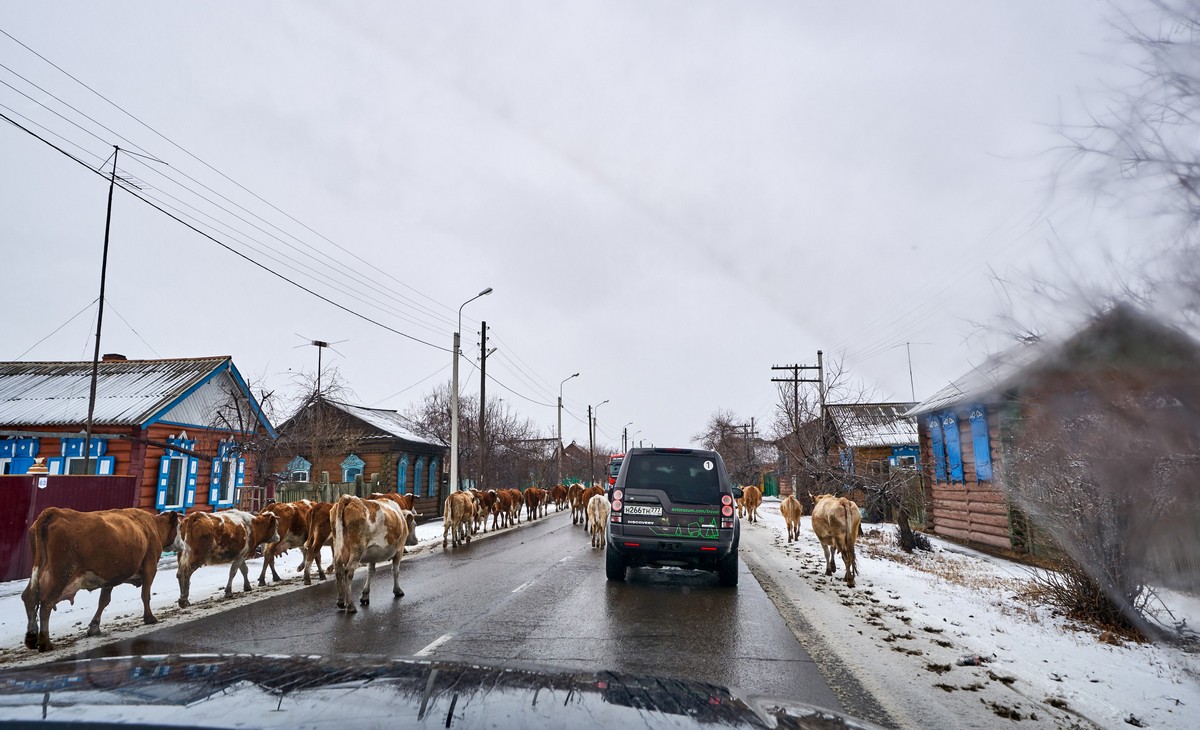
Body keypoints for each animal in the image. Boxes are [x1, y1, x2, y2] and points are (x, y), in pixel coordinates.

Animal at [23, 504, 180, 653]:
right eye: (180, 525)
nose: (183, 545)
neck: (153, 526)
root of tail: (54, 512)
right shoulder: (150, 567)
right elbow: (145, 595)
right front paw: (149, 618)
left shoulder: (110, 576)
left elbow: (104, 600)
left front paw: (94, 627)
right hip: (61, 573)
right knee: (46, 603)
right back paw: (45, 643)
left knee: (29, 598)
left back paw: (31, 638)